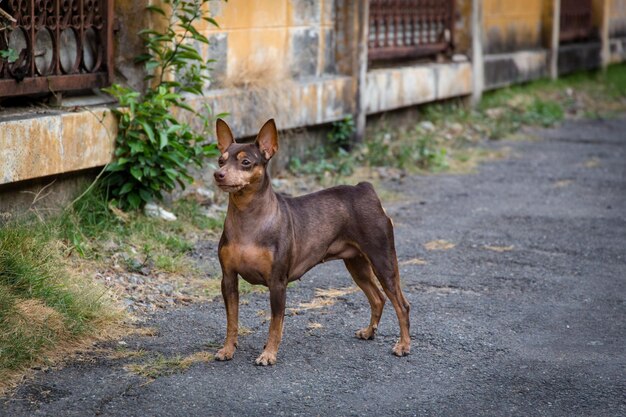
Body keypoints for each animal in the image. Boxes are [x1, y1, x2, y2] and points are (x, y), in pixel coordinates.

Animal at [214, 117, 410, 364]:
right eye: (220, 160)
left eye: (246, 162)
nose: (218, 174)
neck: (248, 218)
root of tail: (365, 189)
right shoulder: (228, 279)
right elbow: (232, 321)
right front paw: (228, 349)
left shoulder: (277, 283)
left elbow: (275, 324)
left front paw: (268, 354)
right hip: (357, 265)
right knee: (378, 298)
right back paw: (368, 332)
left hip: (383, 261)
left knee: (401, 305)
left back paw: (403, 345)